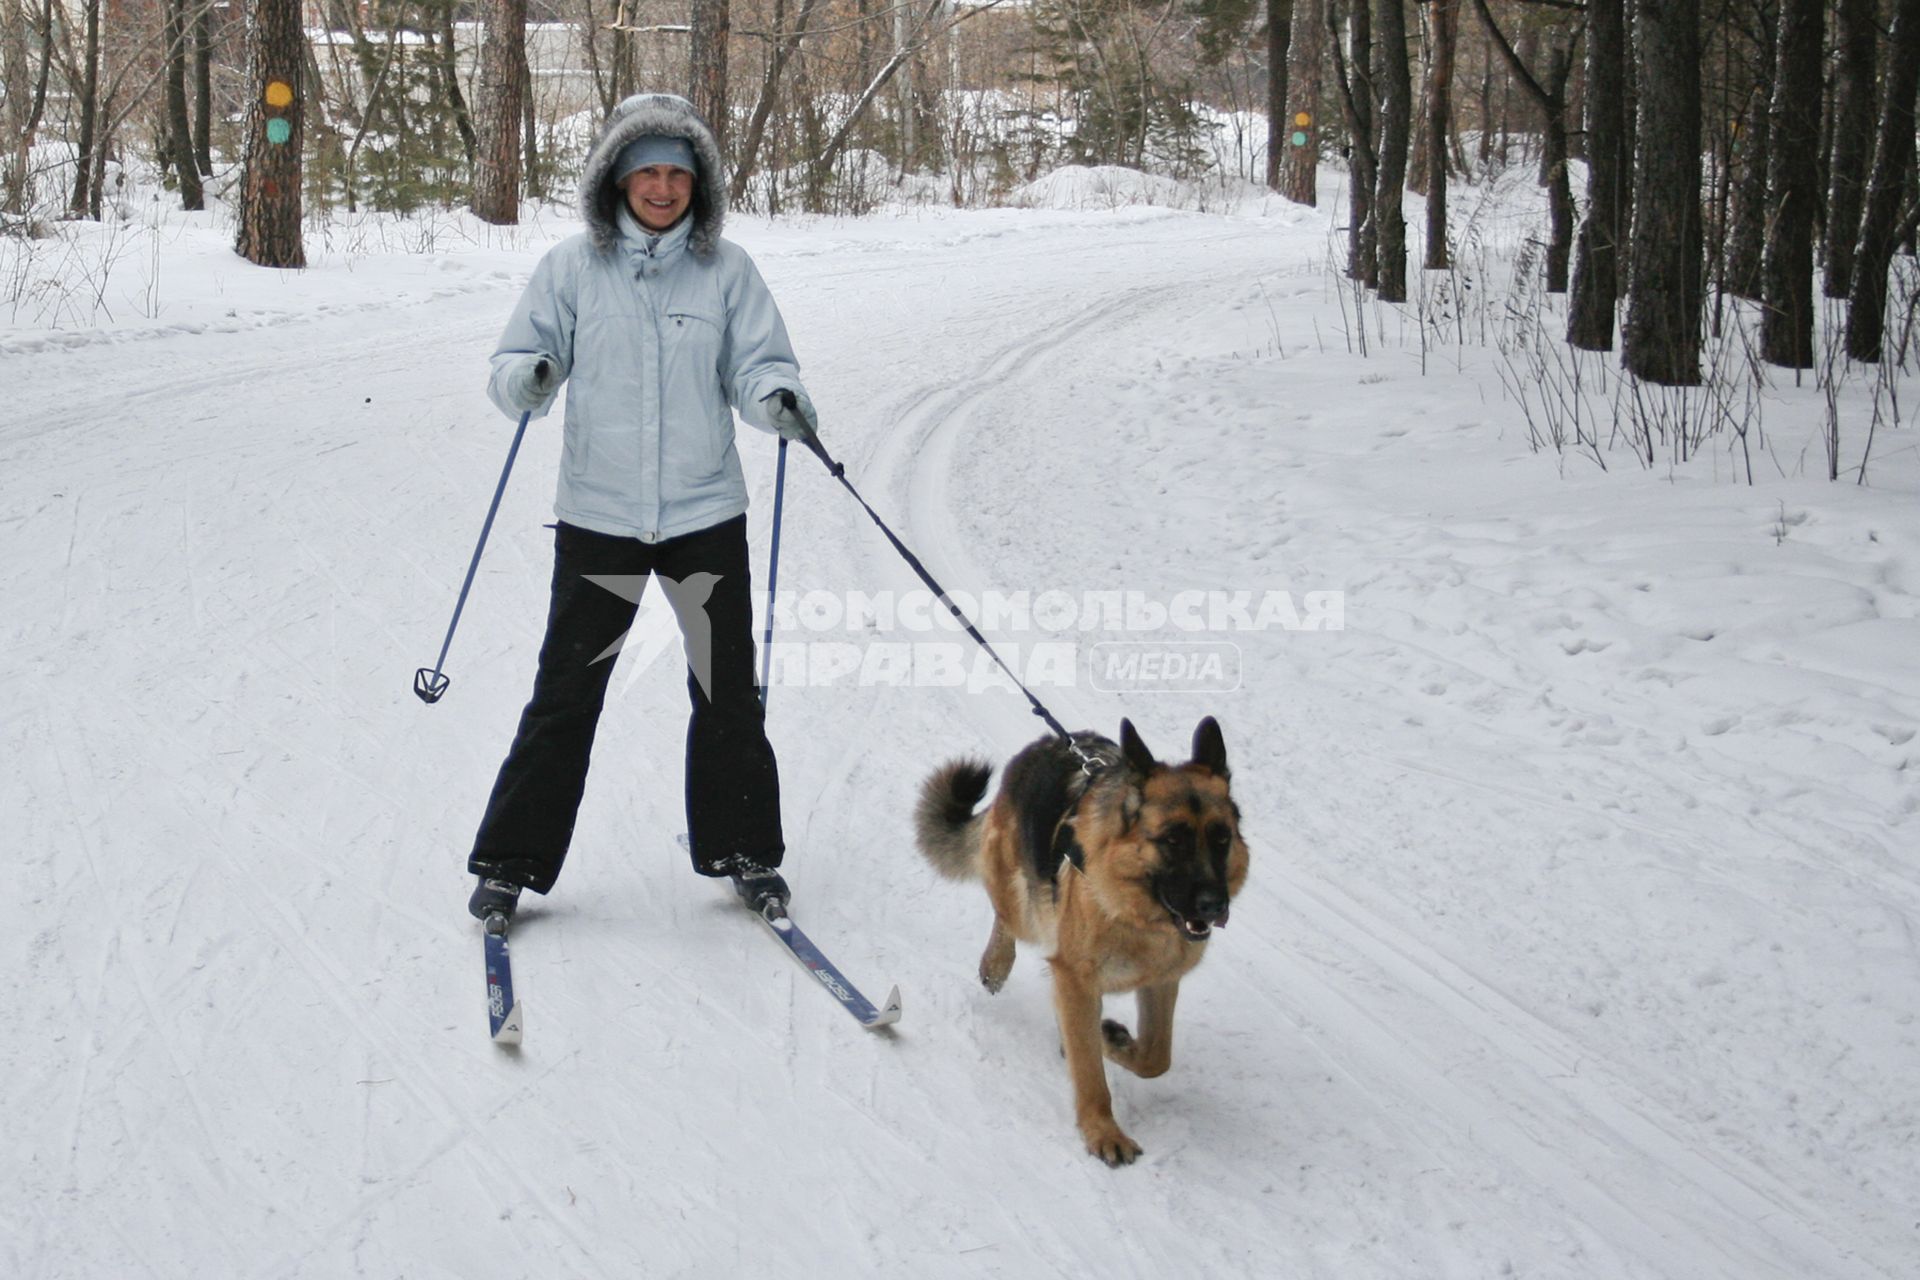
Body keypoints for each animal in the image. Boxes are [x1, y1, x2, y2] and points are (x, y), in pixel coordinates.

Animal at [917, 717, 1251, 1166]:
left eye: (1221, 838)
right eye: (1172, 840)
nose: (1216, 906)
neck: (1137, 916)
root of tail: (1048, 742)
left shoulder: (1161, 982)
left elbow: (1155, 1057)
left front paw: (1114, 1039)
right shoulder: (1074, 979)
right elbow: (1091, 1073)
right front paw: (1102, 1132)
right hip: (1024, 902)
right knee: (1006, 914)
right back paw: (995, 964)